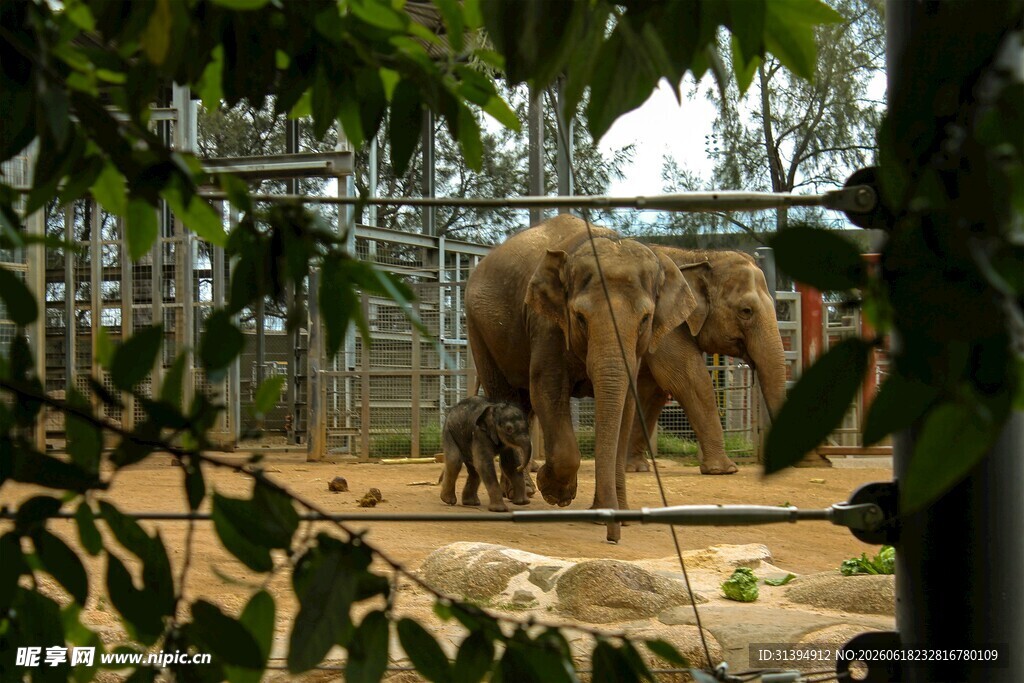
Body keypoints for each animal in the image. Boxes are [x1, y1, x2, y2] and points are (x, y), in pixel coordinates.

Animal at [466, 214, 697, 542]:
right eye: (580, 317)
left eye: (645, 320)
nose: (613, 539)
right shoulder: (546, 322)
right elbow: (546, 388)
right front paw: (556, 492)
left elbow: (626, 406)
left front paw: (614, 515)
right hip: (479, 330)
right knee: (506, 394)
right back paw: (521, 493)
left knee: (522, 405)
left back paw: (524, 490)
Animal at [625, 247, 788, 474]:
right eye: (746, 311)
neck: (697, 257)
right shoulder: (669, 324)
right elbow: (688, 380)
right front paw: (724, 470)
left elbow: (651, 390)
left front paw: (636, 468)